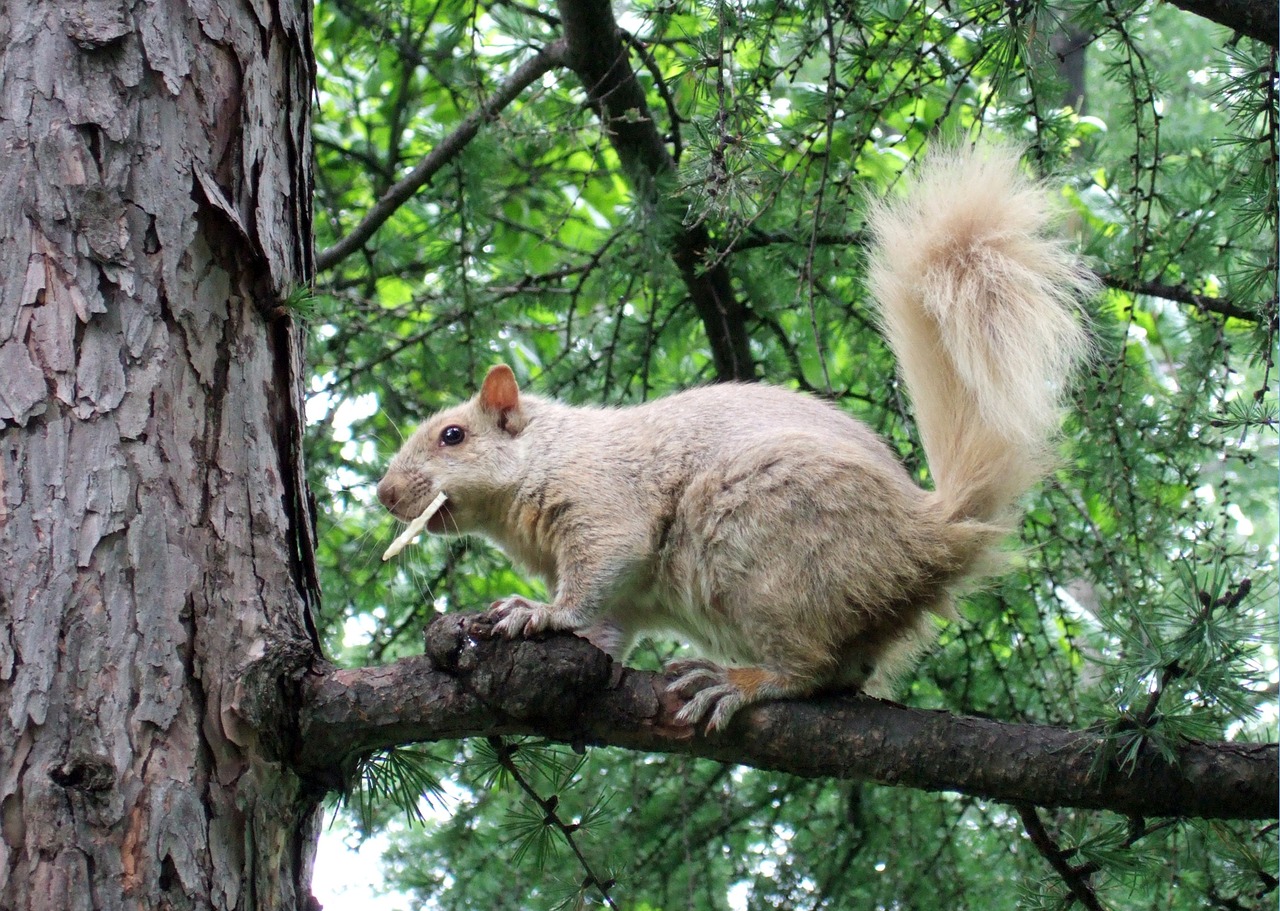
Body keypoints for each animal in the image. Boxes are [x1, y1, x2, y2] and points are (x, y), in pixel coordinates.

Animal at [373, 143, 1095, 731]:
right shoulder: (625, 598)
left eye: (452, 436)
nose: (384, 494)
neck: (547, 456)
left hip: (773, 558)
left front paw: (541, 612)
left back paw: (740, 681)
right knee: (845, 669)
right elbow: (609, 626)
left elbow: (595, 577)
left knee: (808, 668)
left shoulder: (605, 503)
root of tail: (928, 534)